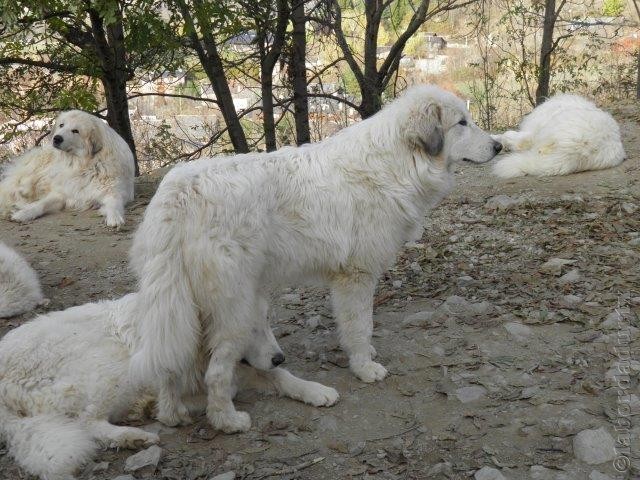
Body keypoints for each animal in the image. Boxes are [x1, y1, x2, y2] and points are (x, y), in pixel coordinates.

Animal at [0, 110, 135, 227]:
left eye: (75, 131)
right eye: (61, 125)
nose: (56, 138)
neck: (83, 164)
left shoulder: (115, 191)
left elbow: (114, 204)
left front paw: (114, 217)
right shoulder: (62, 193)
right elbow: (41, 204)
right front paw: (24, 213)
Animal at [0, 292, 340, 480]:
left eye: (267, 321)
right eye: (248, 329)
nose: (279, 357)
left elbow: (279, 378)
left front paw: (315, 390)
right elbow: (215, 392)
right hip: (111, 364)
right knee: (88, 421)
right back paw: (134, 436)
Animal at [130, 84, 500, 434]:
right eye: (461, 123)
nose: (498, 146)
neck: (396, 162)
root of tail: (178, 190)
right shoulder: (357, 275)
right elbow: (360, 325)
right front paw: (364, 367)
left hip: (178, 303)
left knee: (170, 361)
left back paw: (172, 414)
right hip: (233, 308)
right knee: (216, 371)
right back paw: (227, 421)